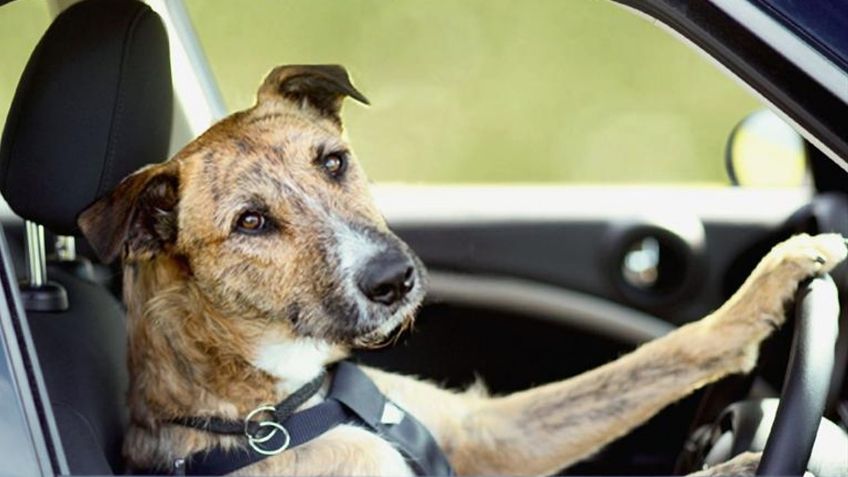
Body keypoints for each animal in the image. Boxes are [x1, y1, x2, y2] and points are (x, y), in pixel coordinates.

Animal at [76, 64, 844, 476]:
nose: (394, 279)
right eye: (250, 222)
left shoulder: (489, 433)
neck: (282, 407)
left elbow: (657, 359)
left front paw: (775, 276)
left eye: (333, 161)